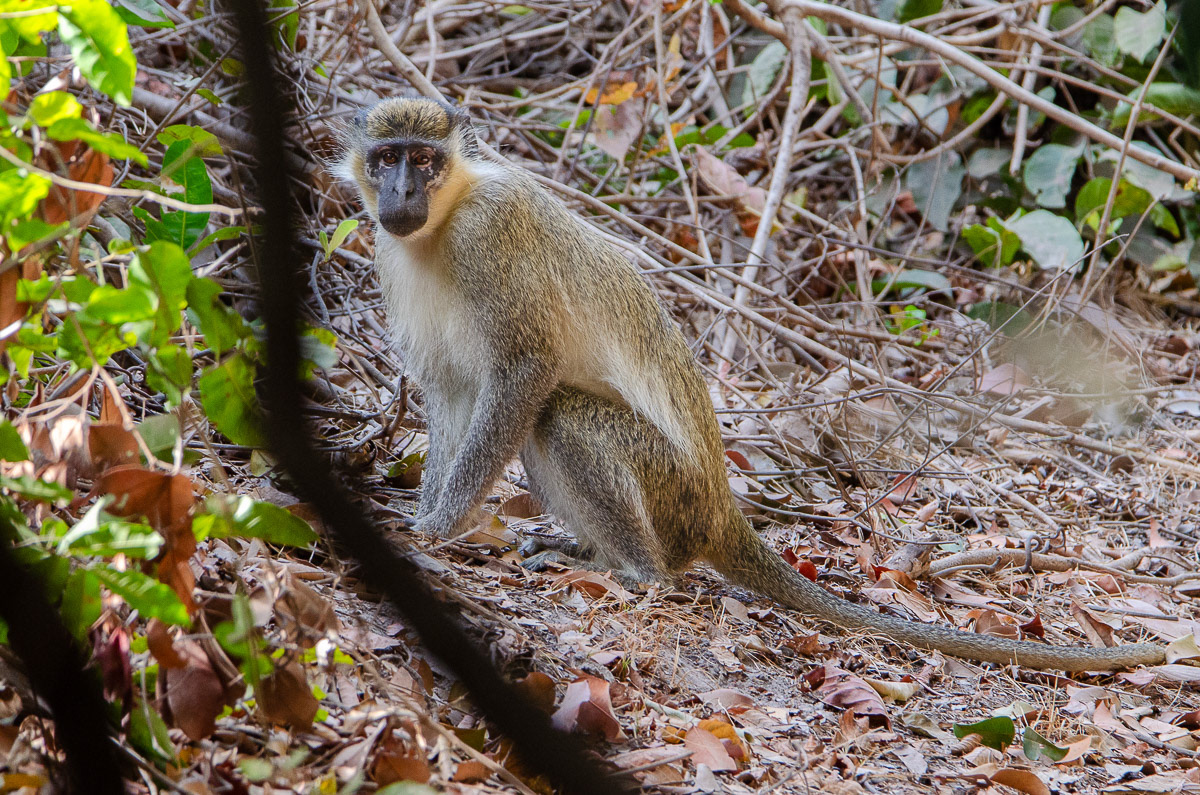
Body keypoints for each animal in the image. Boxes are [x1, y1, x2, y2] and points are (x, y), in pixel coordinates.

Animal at [338, 96, 1166, 672]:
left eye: (425, 159)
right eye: (386, 158)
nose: (401, 192)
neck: (444, 221)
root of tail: (719, 508)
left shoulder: (492, 232)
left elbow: (525, 372)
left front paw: (437, 527)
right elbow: (452, 394)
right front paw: (421, 513)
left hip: (671, 493)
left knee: (560, 415)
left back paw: (634, 570)